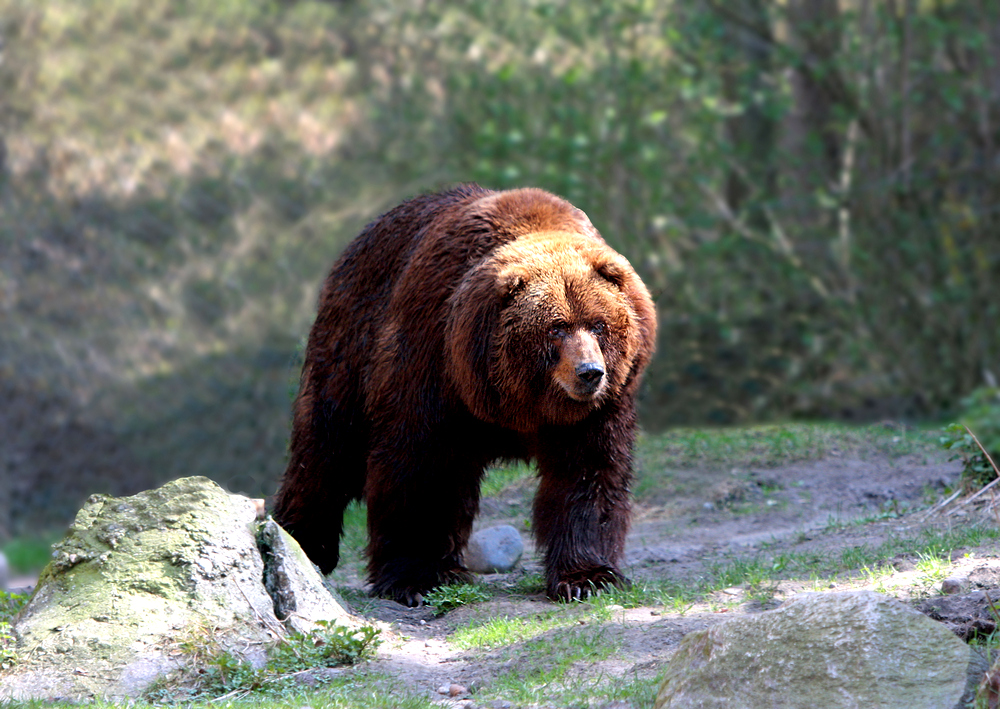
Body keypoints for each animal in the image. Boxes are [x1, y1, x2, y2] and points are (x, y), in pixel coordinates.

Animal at [272, 183, 656, 604]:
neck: (519, 401)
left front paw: (589, 576)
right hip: (349, 345)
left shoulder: (595, 411)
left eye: (599, 324)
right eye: (556, 327)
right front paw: (418, 577)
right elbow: (421, 467)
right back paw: (301, 542)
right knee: (326, 445)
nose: (590, 372)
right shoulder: (433, 364)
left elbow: (587, 474)